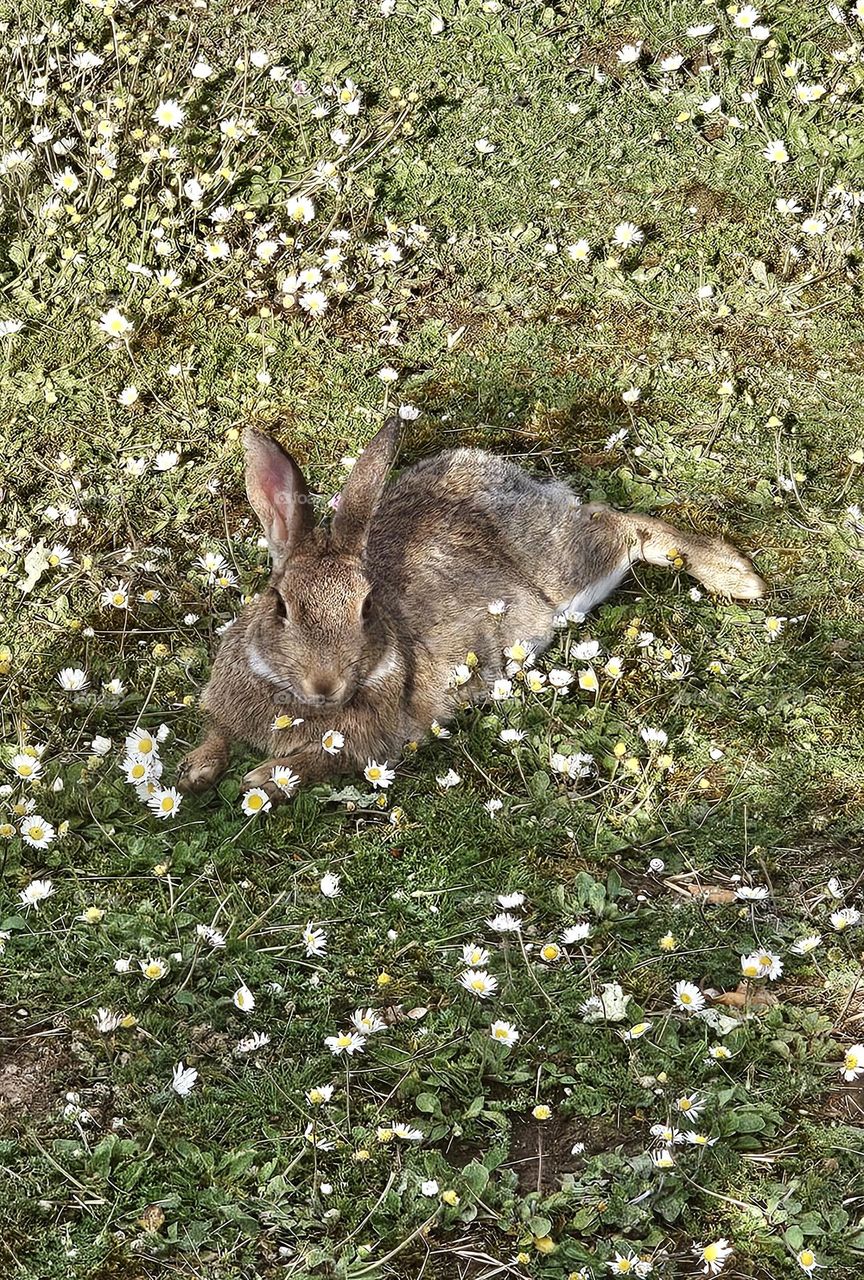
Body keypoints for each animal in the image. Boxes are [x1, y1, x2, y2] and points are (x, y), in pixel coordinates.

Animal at [177, 418, 766, 796]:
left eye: (367, 608)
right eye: (280, 607)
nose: (327, 686)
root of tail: (521, 481)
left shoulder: (376, 742)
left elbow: (325, 760)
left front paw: (262, 780)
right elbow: (216, 732)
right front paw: (195, 772)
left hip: (570, 573)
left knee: (620, 527)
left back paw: (739, 577)